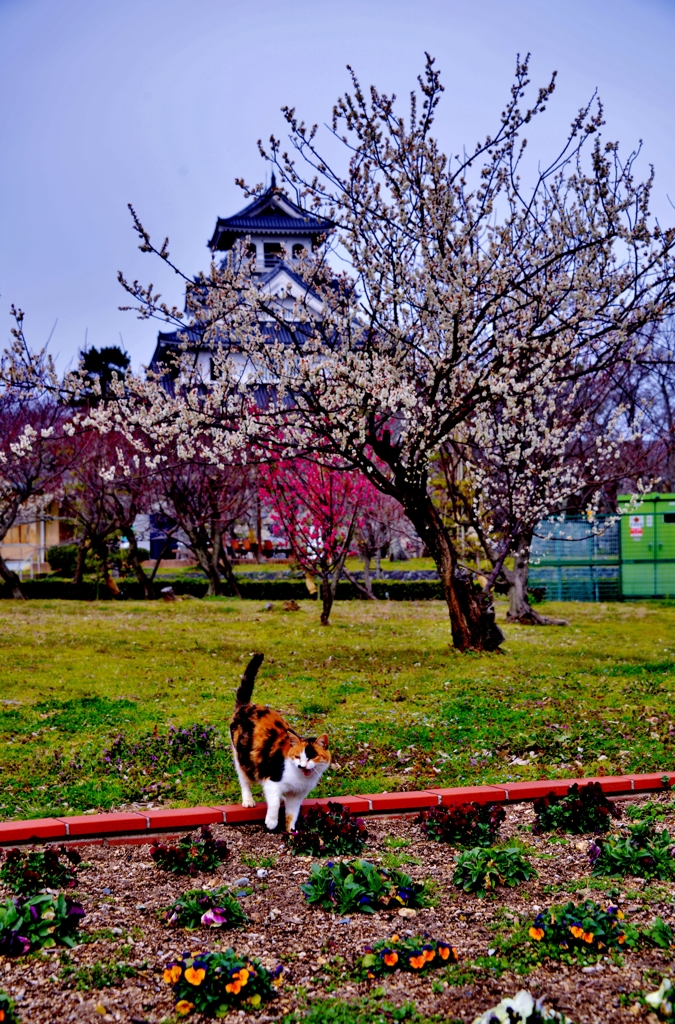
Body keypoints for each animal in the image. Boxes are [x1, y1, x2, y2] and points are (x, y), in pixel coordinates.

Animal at [229, 655, 331, 831]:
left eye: (312, 756)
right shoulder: (272, 780)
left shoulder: (297, 795)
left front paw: (291, 831)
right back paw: (248, 800)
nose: (302, 766)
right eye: (297, 757)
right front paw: (271, 822)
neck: (299, 779)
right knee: (245, 780)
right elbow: (274, 803)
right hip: (242, 758)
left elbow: (292, 814)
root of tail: (245, 706)